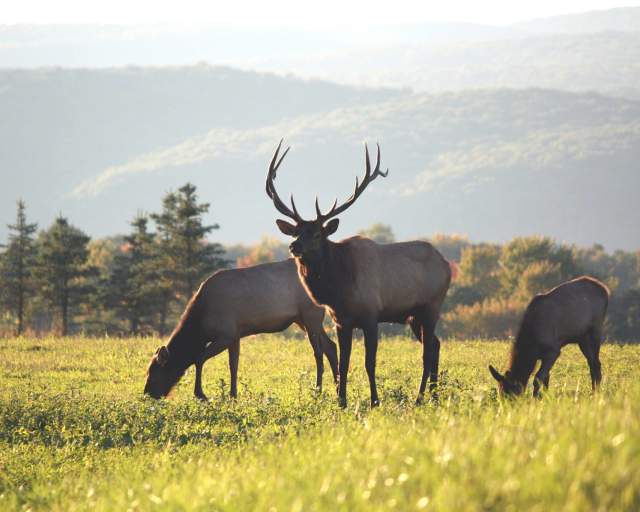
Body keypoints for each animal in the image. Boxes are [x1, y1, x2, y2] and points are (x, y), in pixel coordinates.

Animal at [144, 259, 339, 400]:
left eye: (154, 373)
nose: (147, 394)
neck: (201, 327)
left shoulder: (226, 334)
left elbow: (198, 359)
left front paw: (201, 394)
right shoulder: (235, 335)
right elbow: (233, 365)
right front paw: (233, 396)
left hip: (311, 315)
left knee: (318, 353)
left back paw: (318, 391)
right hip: (303, 320)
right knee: (331, 346)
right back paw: (337, 388)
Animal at [265, 140, 451, 407]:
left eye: (318, 234)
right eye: (296, 232)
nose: (294, 247)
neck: (340, 289)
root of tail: (447, 265)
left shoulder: (371, 316)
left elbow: (369, 363)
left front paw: (374, 401)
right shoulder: (340, 321)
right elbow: (344, 363)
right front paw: (341, 401)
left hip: (432, 305)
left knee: (428, 351)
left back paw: (420, 397)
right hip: (413, 315)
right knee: (434, 344)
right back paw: (432, 396)